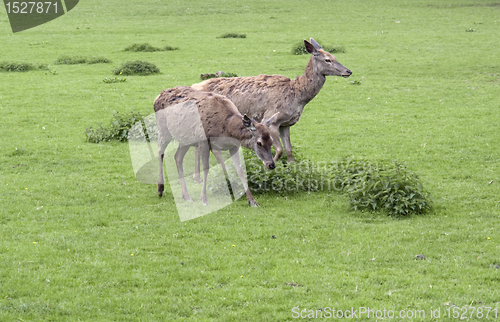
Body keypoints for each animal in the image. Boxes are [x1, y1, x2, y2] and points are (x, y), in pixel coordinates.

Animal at [191, 38, 352, 171]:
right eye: (327, 60)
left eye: (335, 57)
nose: (348, 71)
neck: (297, 97)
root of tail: (194, 86)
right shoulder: (271, 119)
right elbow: (279, 149)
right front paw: (267, 165)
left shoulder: (286, 124)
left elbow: (289, 150)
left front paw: (292, 169)